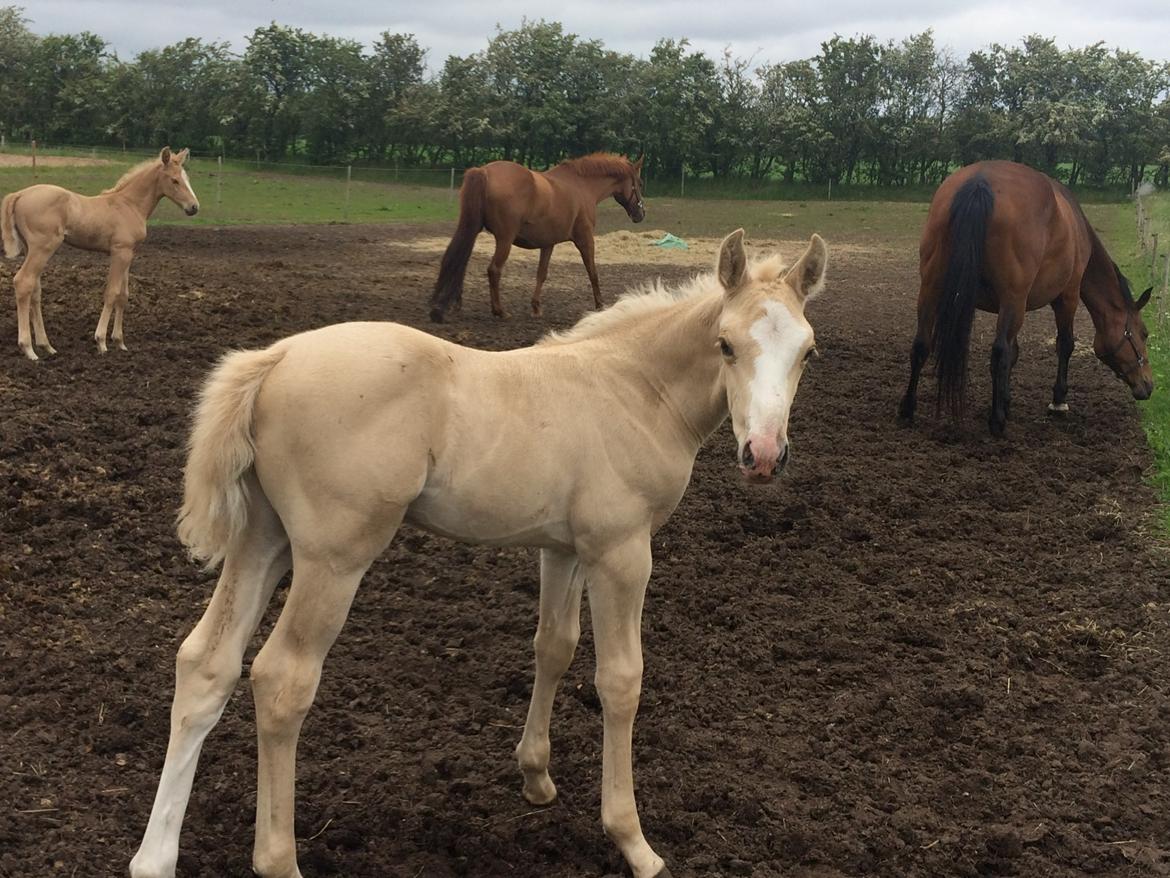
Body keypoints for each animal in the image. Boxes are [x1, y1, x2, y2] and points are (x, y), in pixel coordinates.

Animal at [0, 146, 198, 358]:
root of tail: (19, 194)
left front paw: (120, 342)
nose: (194, 207)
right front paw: (101, 341)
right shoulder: (120, 252)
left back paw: (46, 345)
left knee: (35, 290)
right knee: (23, 282)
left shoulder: (129, 253)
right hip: (43, 247)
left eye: (187, 178)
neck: (129, 204)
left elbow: (123, 295)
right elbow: (111, 293)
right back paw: (28, 349)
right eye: (175, 180)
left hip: (32, 249)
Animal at [130, 228, 833, 878]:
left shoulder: (563, 549)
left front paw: (536, 777)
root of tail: (274, 358)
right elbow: (620, 680)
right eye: (726, 344)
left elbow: (554, 647)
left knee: (206, 664)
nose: (764, 456)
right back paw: (278, 859)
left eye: (807, 351)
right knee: (281, 681)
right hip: (333, 558)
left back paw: (154, 858)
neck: (634, 390)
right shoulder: (621, 552)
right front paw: (633, 841)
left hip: (263, 538)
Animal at [430, 153, 650, 320]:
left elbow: (541, 274)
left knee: (458, 261)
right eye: (639, 182)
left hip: (472, 229)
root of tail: (483, 171)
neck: (582, 186)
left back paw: (449, 304)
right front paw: (600, 305)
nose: (641, 214)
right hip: (504, 240)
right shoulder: (585, 240)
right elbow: (592, 272)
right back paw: (499, 311)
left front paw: (536, 307)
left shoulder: (548, 243)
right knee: (493, 270)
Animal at [893, 161, 1151, 437]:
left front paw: (1006, 400)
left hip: (933, 289)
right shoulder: (1066, 297)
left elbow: (1014, 352)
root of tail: (979, 183)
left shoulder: (1017, 306)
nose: (1148, 385)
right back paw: (996, 422)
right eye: (1143, 333)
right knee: (998, 353)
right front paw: (1058, 401)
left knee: (921, 344)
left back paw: (907, 408)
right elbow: (1064, 344)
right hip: (1012, 299)